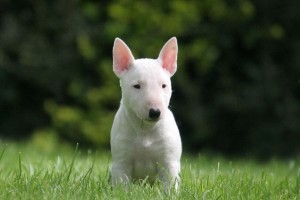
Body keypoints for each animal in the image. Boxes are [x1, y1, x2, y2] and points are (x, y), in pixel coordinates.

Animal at [109, 36, 180, 191]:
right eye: (137, 86)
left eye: (164, 85)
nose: (155, 112)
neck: (146, 129)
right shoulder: (121, 161)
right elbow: (122, 185)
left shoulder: (169, 162)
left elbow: (170, 185)